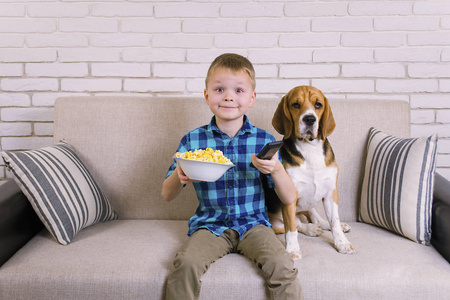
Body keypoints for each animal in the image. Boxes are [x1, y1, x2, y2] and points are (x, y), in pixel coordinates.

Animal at [270, 85, 356, 258]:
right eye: (296, 105)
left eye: (318, 105)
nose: (310, 119)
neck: (310, 148)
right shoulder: (289, 197)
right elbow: (291, 228)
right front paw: (292, 249)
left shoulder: (331, 193)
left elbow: (334, 221)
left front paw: (342, 243)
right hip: (273, 223)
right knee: (296, 224)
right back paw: (310, 229)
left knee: (315, 218)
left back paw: (327, 225)